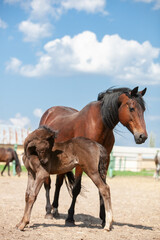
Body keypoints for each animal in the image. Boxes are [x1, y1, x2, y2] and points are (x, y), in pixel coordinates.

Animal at [39, 86, 148, 225]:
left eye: (143, 110)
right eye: (132, 108)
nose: (142, 136)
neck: (99, 124)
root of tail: (49, 112)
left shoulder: (105, 161)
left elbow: (102, 186)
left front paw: (104, 218)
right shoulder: (81, 162)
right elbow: (76, 188)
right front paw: (70, 217)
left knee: (58, 183)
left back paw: (55, 210)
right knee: (47, 183)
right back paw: (48, 211)